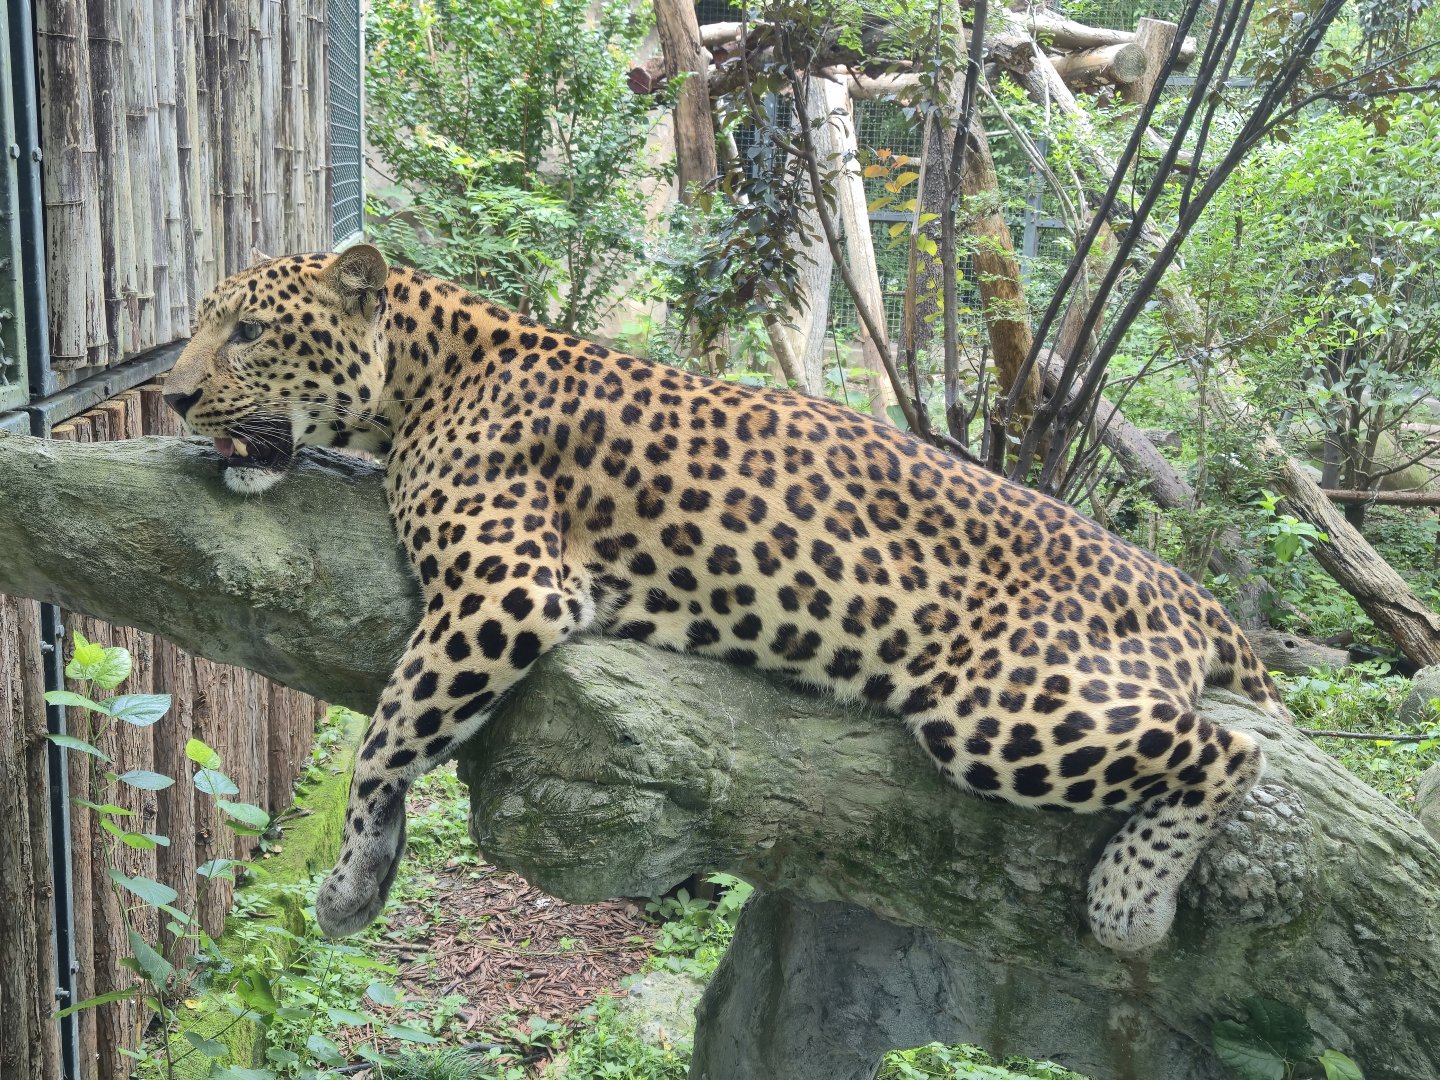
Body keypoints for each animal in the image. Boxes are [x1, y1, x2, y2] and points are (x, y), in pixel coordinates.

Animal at [163, 245, 1287, 954]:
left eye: (250, 329)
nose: (171, 394)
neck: (425, 376)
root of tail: (1184, 587)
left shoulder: (509, 585)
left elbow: (388, 733)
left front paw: (353, 880)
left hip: (1003, 708)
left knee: (1228, 749)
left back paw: (1132, 903)